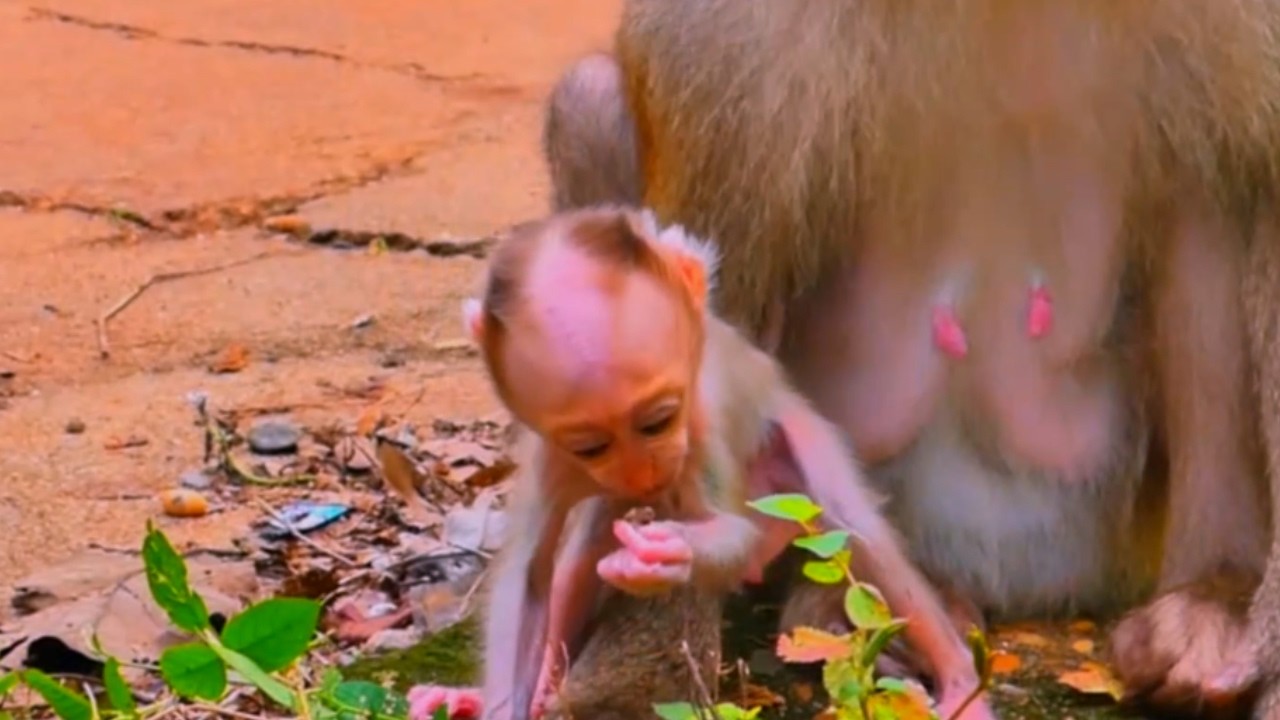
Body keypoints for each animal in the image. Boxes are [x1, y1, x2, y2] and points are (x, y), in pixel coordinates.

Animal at [408, 207, 994, 720]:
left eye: (659, 421)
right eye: (592, 446)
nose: (643, 472)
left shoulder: (702, 419)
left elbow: (734, 532)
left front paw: (670, 551)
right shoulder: (551, 450)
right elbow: (529, 574)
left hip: (796, 449)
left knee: (857, 531)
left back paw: (960, 678)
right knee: (586, 547)